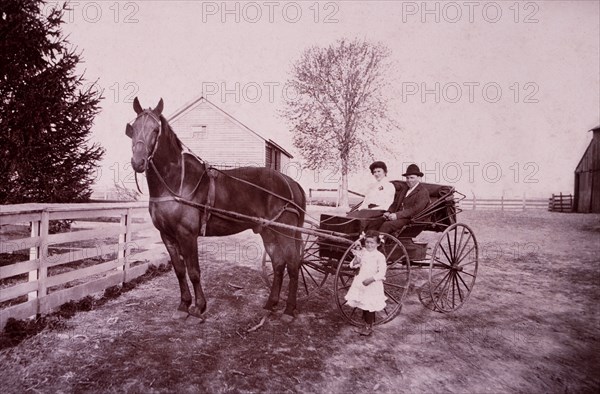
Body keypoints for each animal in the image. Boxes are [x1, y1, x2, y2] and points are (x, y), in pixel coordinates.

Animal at [125, 97, 308, 322]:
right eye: (133, 128)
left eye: (155, 129)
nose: (138, 162)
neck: (177, 182)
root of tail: (291, 183)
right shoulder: (167, 235)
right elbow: (179, 271)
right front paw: (183, 305)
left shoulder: (187, 235)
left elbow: (194, 271)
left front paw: (198, 308)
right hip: (268, 232)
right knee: (279, 263)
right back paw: (270, 304)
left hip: (285, 232)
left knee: (293, 264)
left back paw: (289, 310)